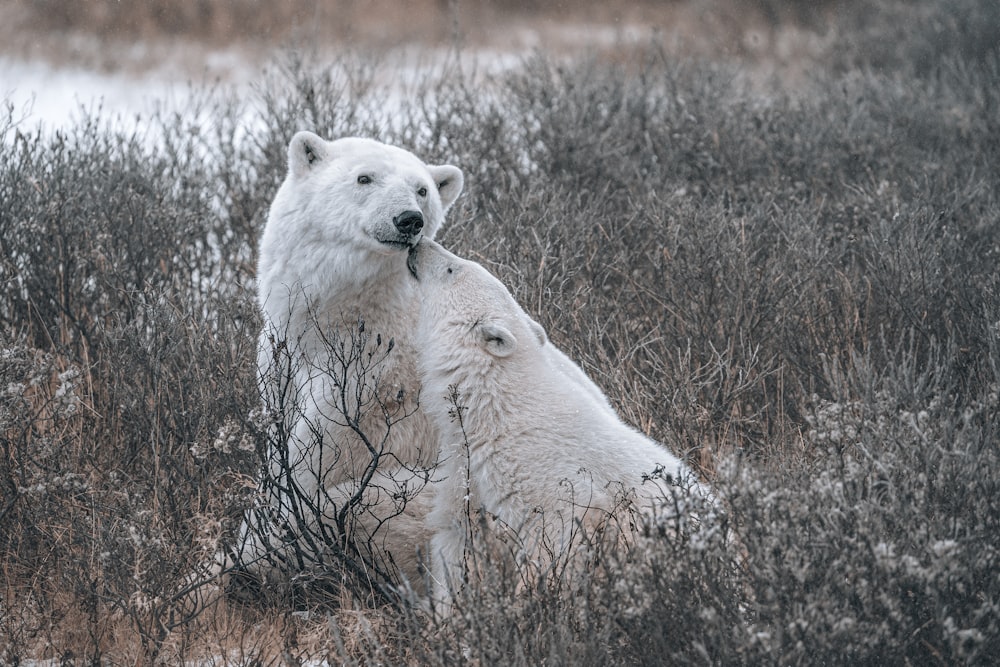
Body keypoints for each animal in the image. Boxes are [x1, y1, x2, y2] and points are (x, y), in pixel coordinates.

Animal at [240, 132, 462, 596]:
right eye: (364, 178)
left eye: (422, 189)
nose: (409, 219)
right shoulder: (282, 359)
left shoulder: (369, 387)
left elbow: (311, 462)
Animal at [406, 240, 712, 604]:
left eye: (453, 268)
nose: (418, 243)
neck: (498, 408)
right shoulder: (467, 471)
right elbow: (457, 537)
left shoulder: (551, 484)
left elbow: (553, 541)